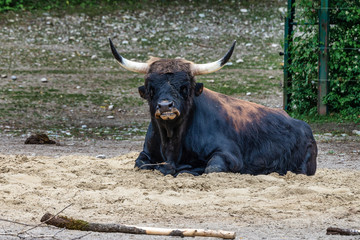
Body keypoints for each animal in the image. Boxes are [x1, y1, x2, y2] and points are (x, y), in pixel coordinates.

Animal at [109, 39, 318, 177]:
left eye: (185, 87)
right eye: (151, 88)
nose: (165, 106)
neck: (171, 140)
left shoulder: (229, 156)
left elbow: (211, 168)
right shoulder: (146, 153)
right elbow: (140, 164)